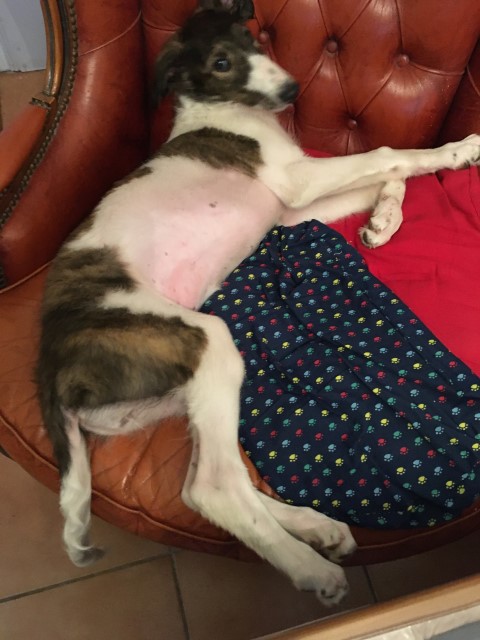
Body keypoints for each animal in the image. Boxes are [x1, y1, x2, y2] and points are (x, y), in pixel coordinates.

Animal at [37, 0, 480, 605]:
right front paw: (462, 150)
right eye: (222, 62)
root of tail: (48, 365)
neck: (224, 111)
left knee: (200, 488)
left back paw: (313, 527)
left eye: (252, 40)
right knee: (214, 488)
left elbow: (389, 174)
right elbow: (392, 154)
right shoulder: (297, 179)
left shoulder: (292, 206)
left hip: (181, 391)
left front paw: (383, 223)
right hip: (199, 339)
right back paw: (310, 568)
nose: (292, 89)